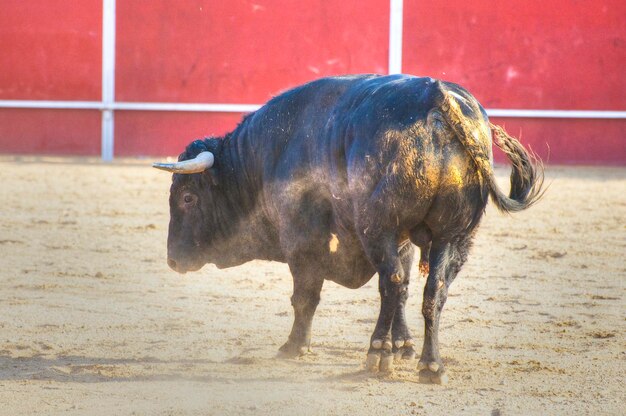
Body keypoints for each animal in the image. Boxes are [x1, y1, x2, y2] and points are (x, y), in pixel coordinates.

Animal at [152, 74, 540, 384]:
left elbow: (305, 295)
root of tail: (435, 96)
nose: (172, 260)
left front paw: (295, 346)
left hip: (378, 226)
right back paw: (431, 365)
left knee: (391, 283)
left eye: (187, 197)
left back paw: (377, 354)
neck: (269, 153)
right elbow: (407, 285)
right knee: (432, 290)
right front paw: (404, 345)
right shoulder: (405, 241)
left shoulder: (303, 238)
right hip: (455, 236)